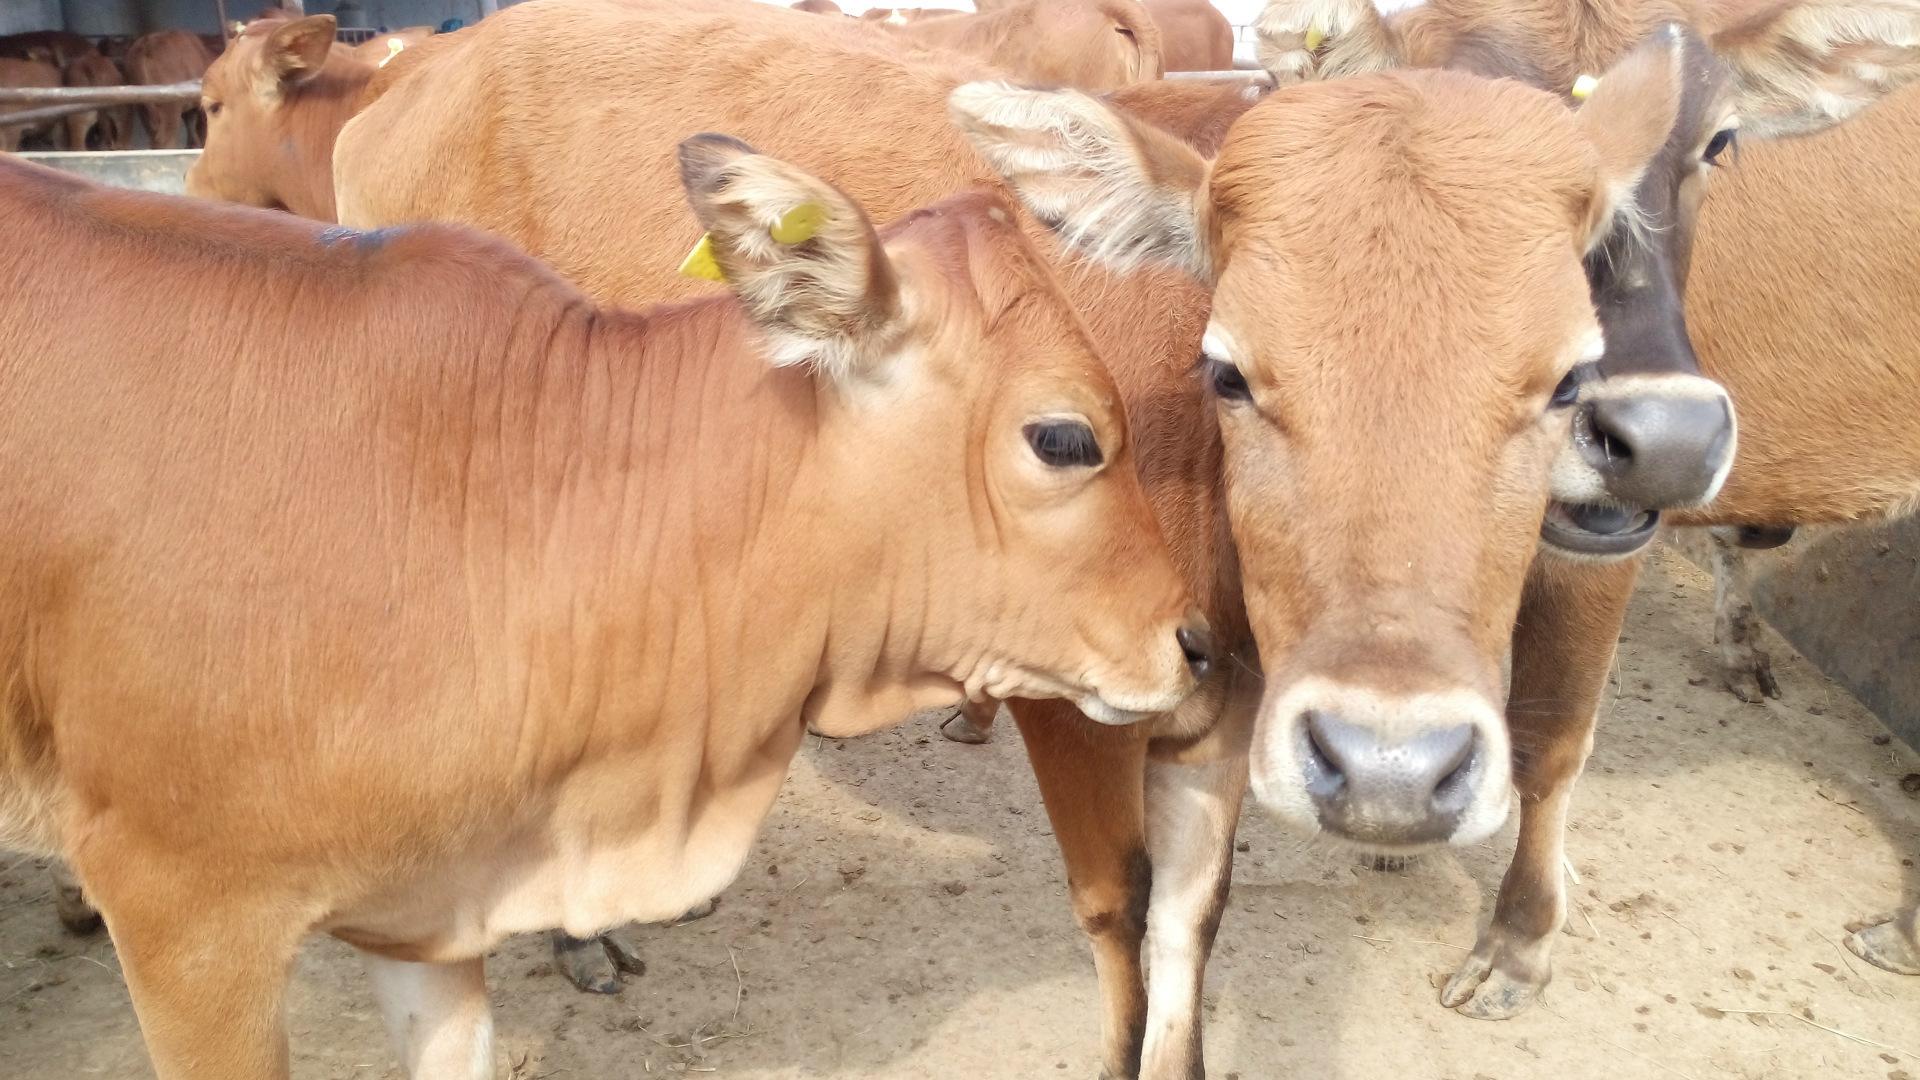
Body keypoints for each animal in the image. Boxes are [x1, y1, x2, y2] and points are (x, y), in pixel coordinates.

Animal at [330, 0, 1697, 1068]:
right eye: (1230, 368)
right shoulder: (1077, 700)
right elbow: (1118, 915)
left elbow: (1189, 927)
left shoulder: (1226, 718)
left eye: (1570, 379)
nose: (1392, 766)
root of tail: (408, 83)